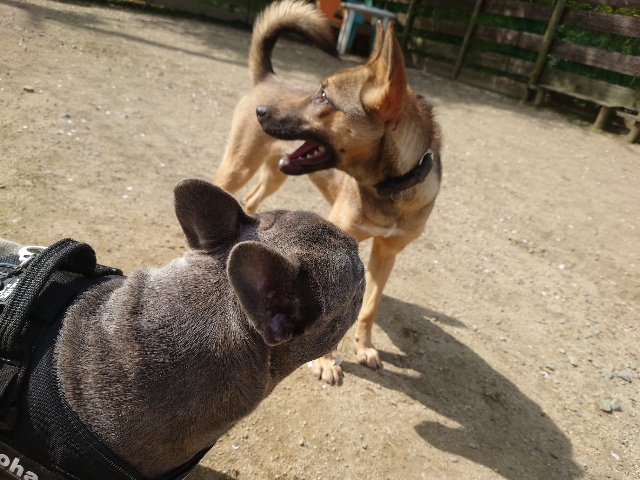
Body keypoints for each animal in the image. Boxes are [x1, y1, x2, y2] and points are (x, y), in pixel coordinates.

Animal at [214, 0, 442, 384]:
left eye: (323, 96)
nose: (262, 112)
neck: (388, 189)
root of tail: (269, 78)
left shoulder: (387, 253)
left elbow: (370, 307)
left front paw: (365, 348)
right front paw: (324, 361)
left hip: (273, 174)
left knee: (250, 202)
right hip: (238, 166)